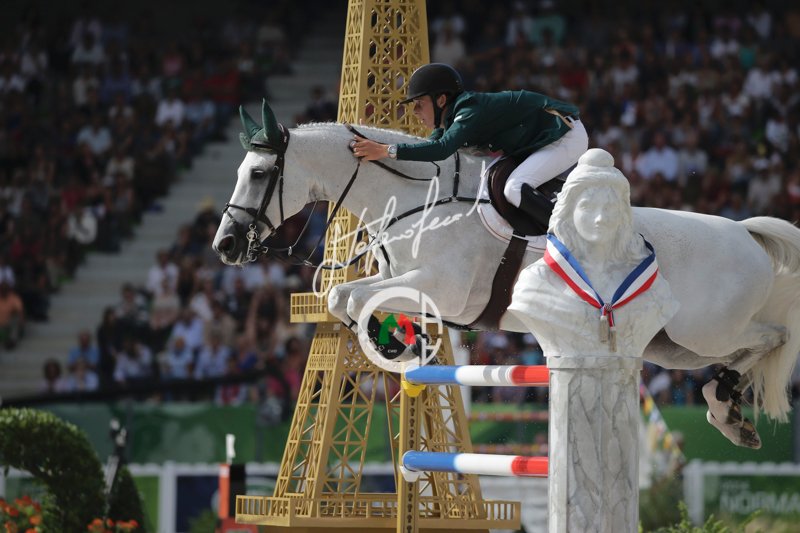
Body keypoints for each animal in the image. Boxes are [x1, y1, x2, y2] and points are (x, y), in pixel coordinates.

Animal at [213, 101, 800, 449]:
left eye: (259, 173)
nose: (225, 246)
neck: (411, 200)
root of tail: (745, 232)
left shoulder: (444, 289)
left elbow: (351, 301)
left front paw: (401, 345)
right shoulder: (410, 284)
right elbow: (345, 300)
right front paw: (403, 343)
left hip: (705, 329)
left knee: (771, 338)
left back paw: (726, 407)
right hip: (672, 345)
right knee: (739, 354)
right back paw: (729, 412)